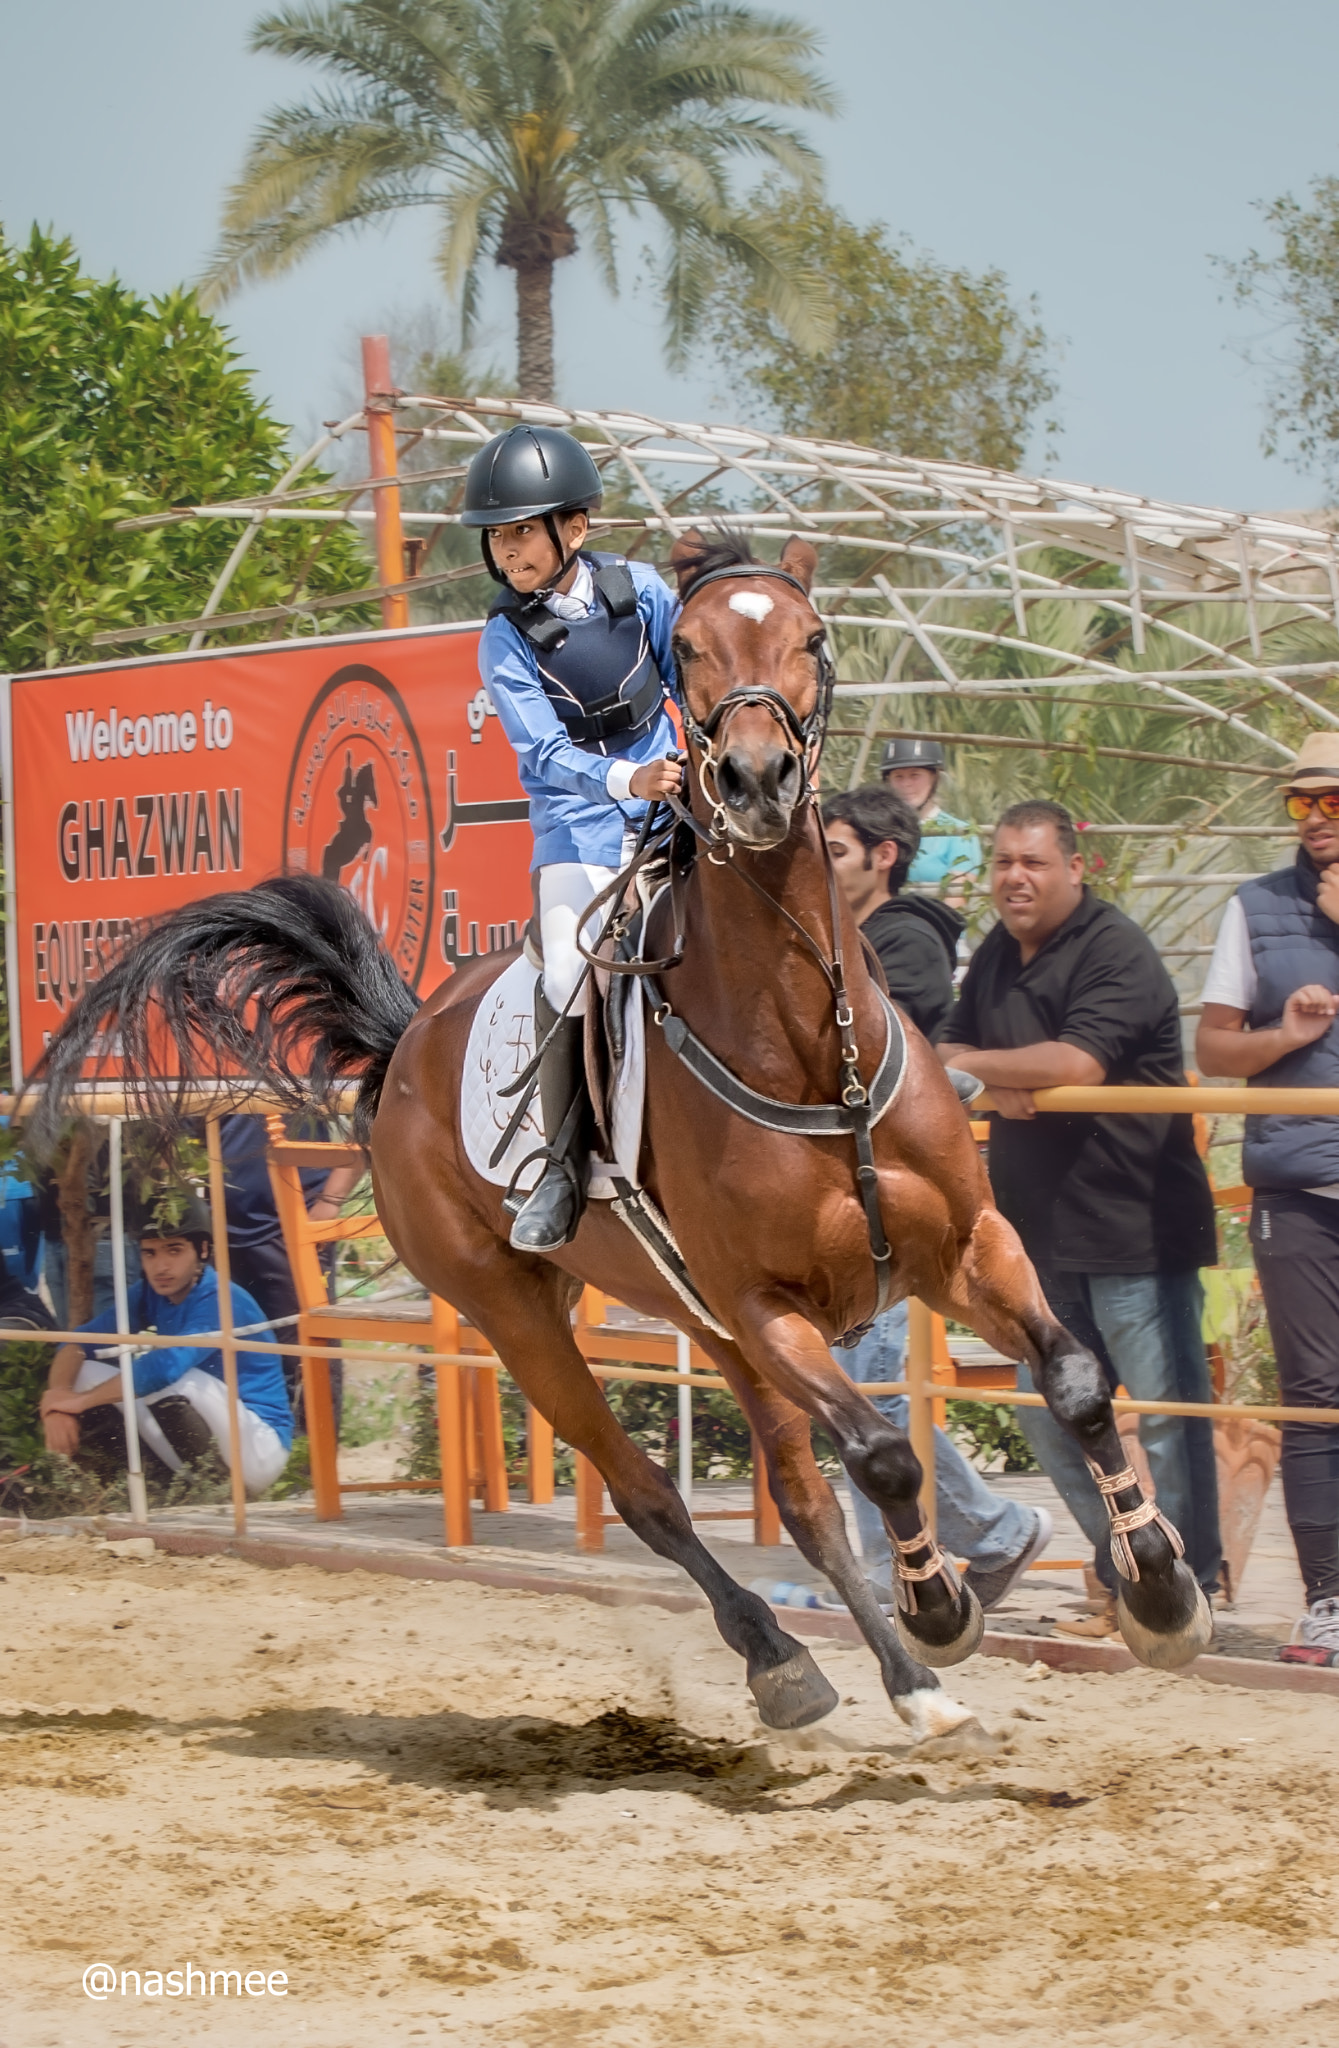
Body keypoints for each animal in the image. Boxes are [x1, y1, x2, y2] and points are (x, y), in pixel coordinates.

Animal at [35, 530, 1211, 1748]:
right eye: (685, 648)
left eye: (812, 636)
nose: (752, 780)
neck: (806, 1044)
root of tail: (405, 1049)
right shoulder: (768, 1306)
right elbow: (885, 1454)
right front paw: (939, 1609)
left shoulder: (962, 1247)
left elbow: (1073, 1381)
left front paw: (1160, 1593)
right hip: (524, 1321)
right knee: (653, 1494)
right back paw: (784, 1660)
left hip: (710, 1333)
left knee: (800, 1501)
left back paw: (904, 1685)